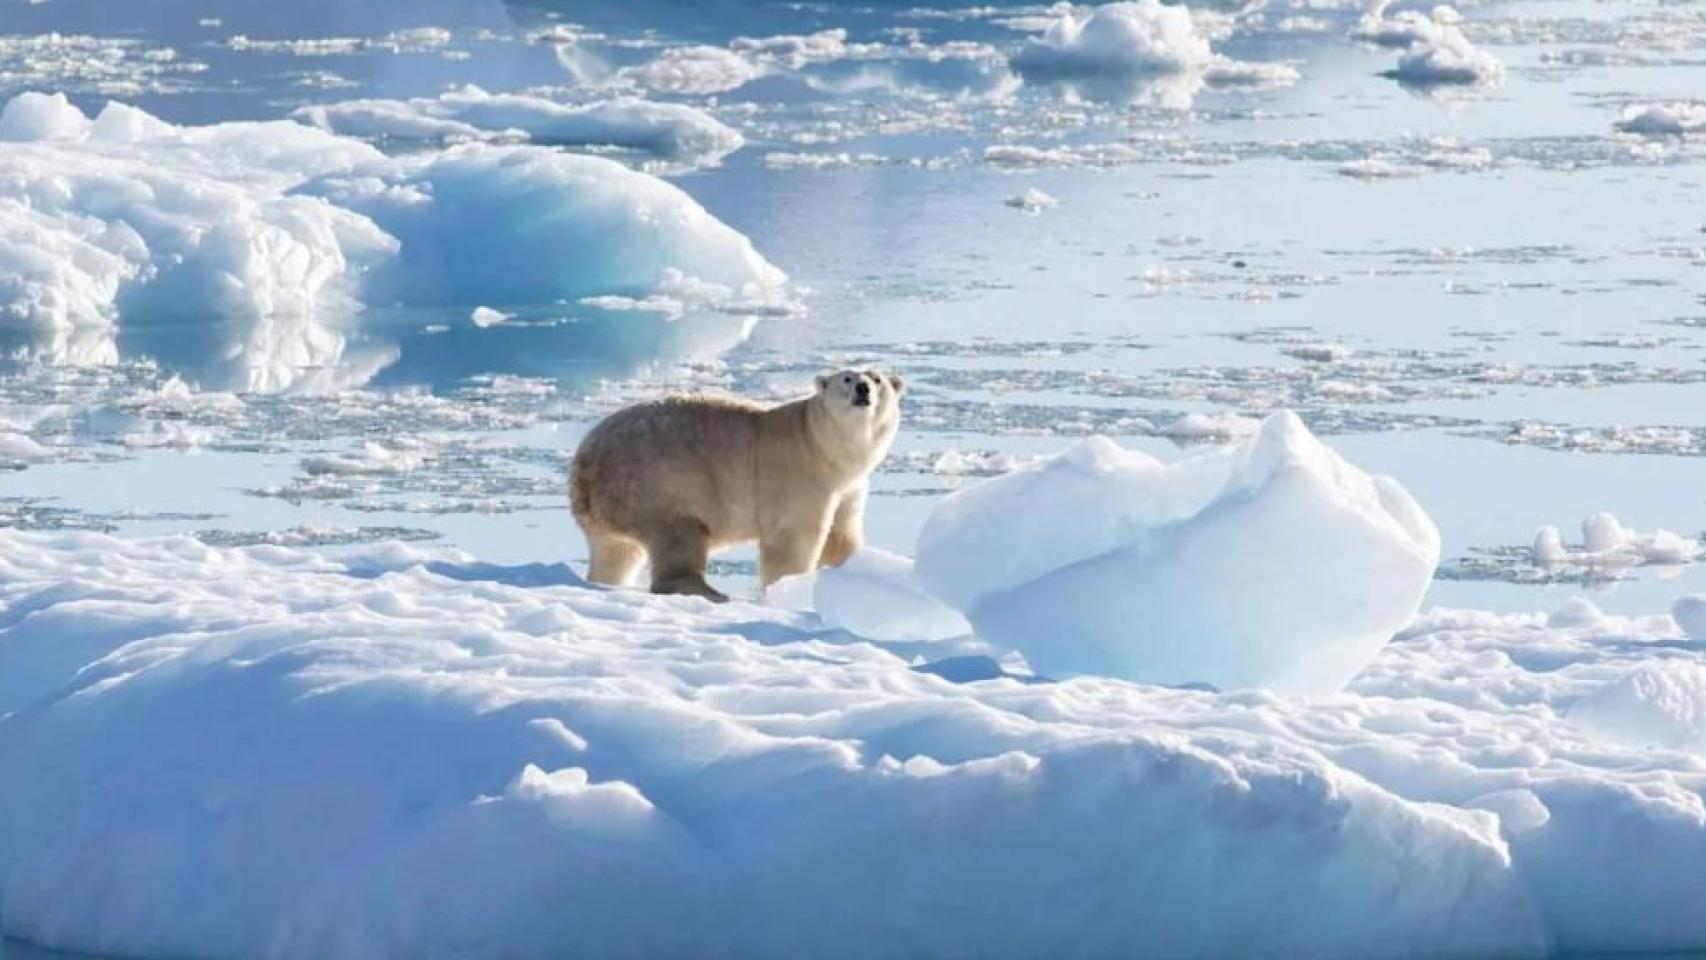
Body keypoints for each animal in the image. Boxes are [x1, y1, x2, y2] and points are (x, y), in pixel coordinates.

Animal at [569, 368, 903, 601]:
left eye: (877, 378)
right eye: (846, 378)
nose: (863, 388)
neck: (821, 444)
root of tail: (583, 464)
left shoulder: (850, 487)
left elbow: (841, 535)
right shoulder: (797, 472)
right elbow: (793, 538)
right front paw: (789, 588)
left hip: (614, 504)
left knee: (616, 552)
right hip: (657, 482)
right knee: (679, 535)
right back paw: (709, 591)